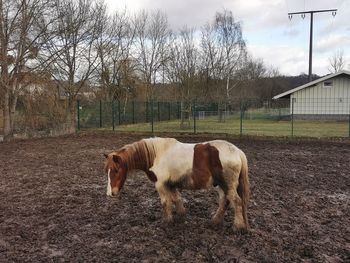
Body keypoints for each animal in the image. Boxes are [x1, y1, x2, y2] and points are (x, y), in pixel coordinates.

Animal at [102, 137, 250, 232]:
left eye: (116, 170)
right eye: (106, 170)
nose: (110, 193)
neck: (157, 155)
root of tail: (238, 151)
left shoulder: (160, 184)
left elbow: (165, 202)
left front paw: (167, 222)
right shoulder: (171, 184)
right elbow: (176, 199)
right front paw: (181, 215)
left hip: (227, 184)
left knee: (236, 201)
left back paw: (237, 227)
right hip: (221, 184)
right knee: (225, 201)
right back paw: (215, 221)